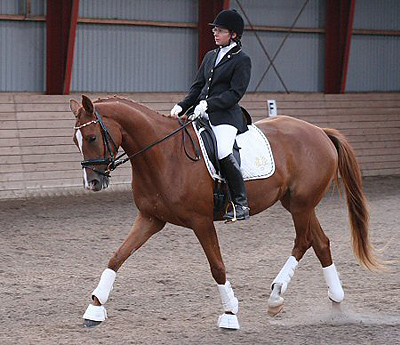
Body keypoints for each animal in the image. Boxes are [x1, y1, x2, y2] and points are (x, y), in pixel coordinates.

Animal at [70, 94, 380, 328]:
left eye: (92, 137)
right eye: (76, 141)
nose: (93, 183)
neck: (164, 155)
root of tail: (319, 131)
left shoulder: (201, 221)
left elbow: (217, 267)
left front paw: (230, 313)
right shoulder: (151, 219)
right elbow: (117, 257)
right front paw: (94, 308)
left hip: (301, 205)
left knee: (303, 241)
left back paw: (276, 297)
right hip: (297, 204)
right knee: (321, 243)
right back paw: (336, 301)